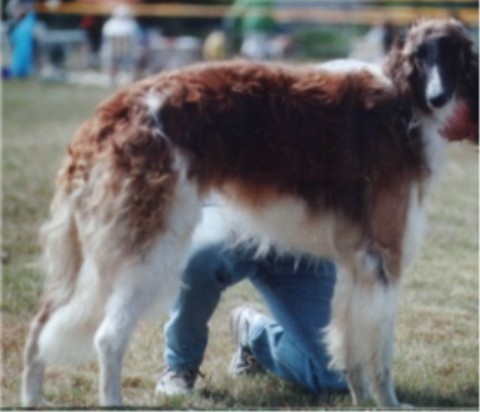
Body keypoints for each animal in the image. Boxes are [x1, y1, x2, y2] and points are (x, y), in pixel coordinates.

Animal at [21, 17, 476, 408]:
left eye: (453, 54)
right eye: (421, 57)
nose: (437, 97)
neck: (402, 100)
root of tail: (107, 114)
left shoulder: (357, 262)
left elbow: (349, 345)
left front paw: (362, 400)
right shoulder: (384, 256)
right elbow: (381, 347)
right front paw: (390, 403)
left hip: (95, 251)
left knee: (41, 324)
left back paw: (32, 396)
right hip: (149, 248)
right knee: (108, 337)